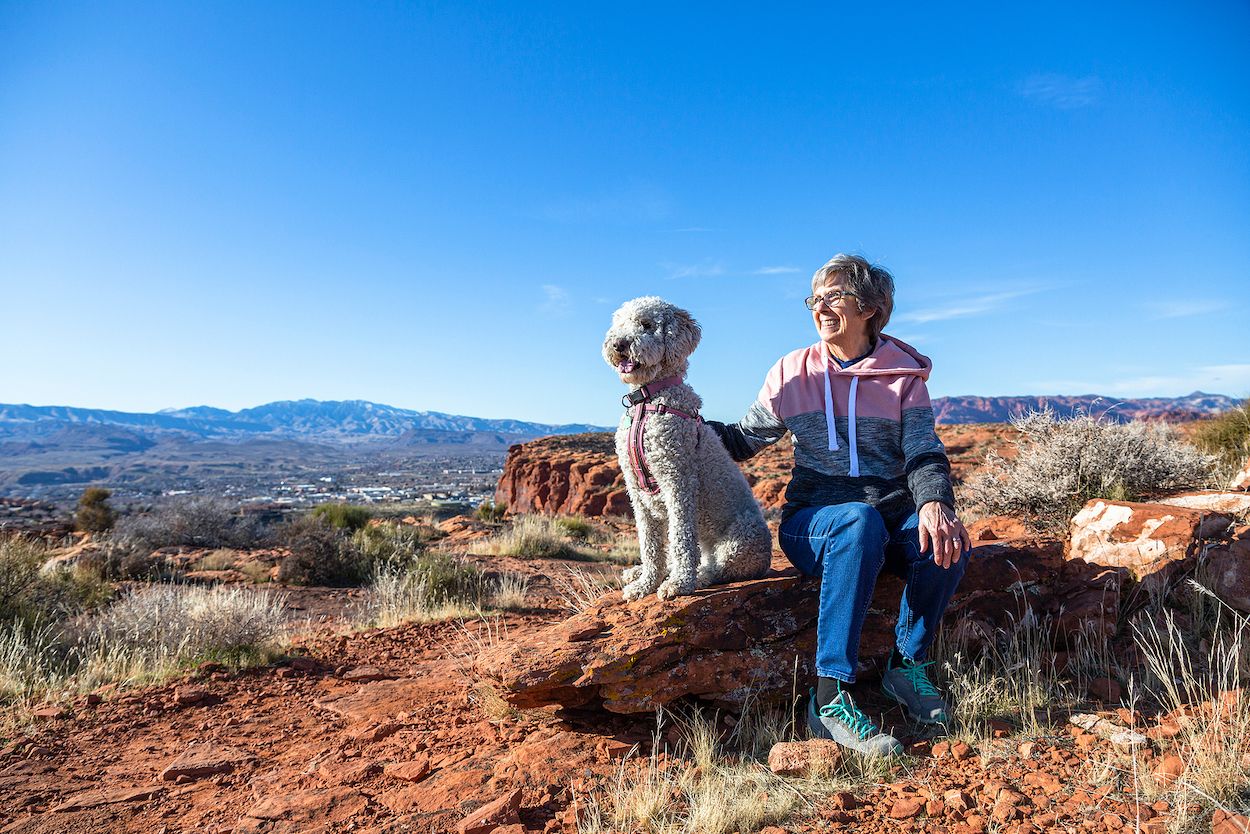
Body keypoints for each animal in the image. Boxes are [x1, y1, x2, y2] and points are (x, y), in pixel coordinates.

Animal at [602, 295, 770, 600]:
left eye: (646, 325)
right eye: (620, 324)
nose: (619, 344)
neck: (647, 401)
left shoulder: (677, 481)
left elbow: (681, 539)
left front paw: (678, 584)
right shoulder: (635, 491)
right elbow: (650, 544)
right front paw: (646, 583)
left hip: (740, 540)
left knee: (718, 568)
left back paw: (697, 577)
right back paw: (639, 572)